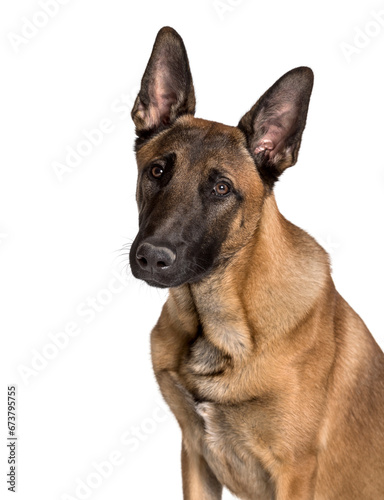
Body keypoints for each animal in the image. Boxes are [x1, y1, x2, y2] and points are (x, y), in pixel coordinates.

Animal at [129, 27, 384, 500]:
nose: (152, 257)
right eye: (157, 172)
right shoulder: (195, 453)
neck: (220, 327)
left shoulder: (294, 473)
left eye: (222, 188)